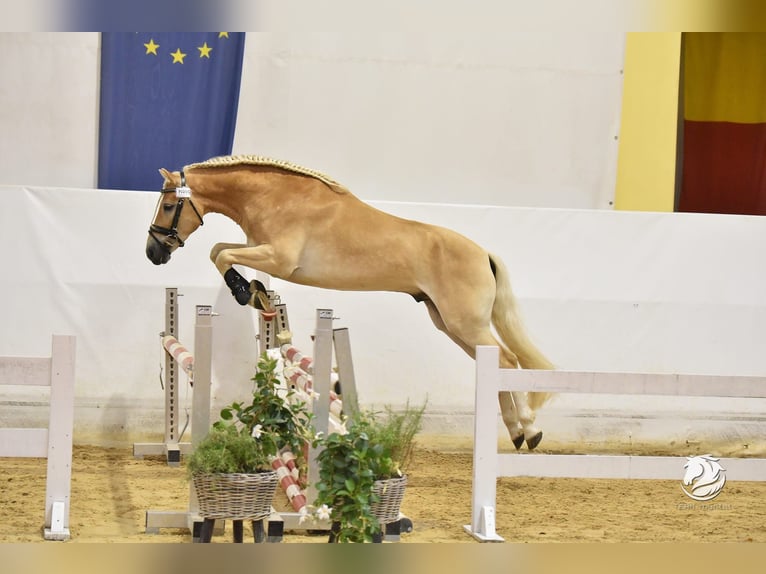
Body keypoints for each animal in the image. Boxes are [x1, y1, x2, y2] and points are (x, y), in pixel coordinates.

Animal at [147, 155, 556, 452]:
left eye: (168, 206)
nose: (153, 253)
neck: (277, 197)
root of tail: (483, 253)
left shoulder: (278, 258)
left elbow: (221, 254)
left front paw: (245, 291)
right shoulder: (258, 248)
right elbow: (220, 251)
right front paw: (256, 291)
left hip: (465, 323)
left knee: (508, 362)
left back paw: (530, 430)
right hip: (448, 323)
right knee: (496, 363)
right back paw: (517, 434)